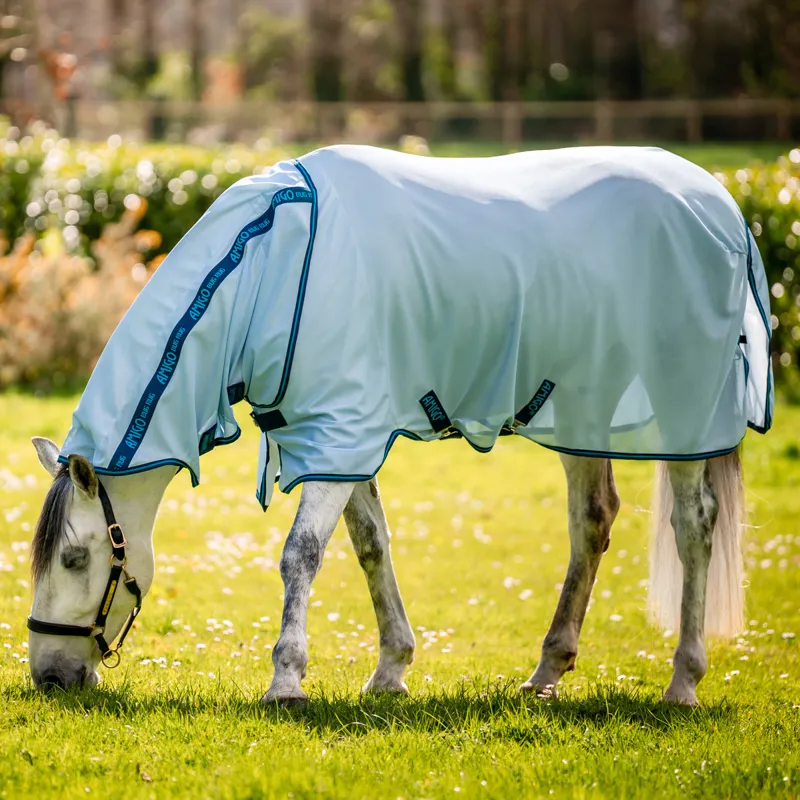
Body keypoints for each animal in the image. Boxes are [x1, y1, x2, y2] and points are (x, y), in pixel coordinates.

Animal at [28, 145, 772, 708]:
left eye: (74, 558)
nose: (49, 676)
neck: (272, 263)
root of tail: (723, 204)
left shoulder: (341, 433)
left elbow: (300, 555)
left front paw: (286, 681)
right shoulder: (338, 438)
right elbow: (370, 547)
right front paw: (391, 670)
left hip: (683, 417)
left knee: (694, 526)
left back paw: (683, 682)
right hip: (583, 413)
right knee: (593, 521)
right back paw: (545, 674)